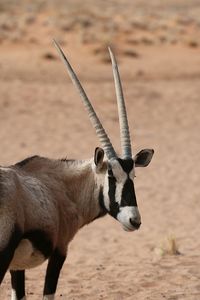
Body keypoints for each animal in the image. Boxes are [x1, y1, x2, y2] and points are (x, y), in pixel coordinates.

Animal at [0, 40, 155, 300]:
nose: (134, 220)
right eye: (111, 176)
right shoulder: (60, 251)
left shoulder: (17, 266)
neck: (64, 185)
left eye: (133, 176)